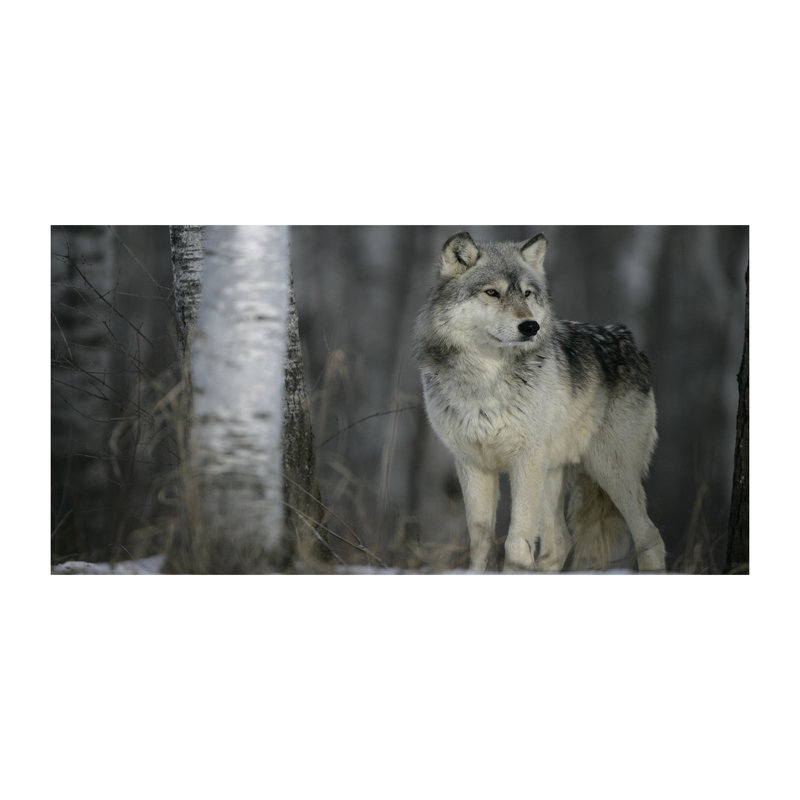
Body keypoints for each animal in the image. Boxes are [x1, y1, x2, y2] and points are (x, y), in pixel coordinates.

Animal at [413, 231, 666, 572]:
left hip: (609, 470)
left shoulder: (525, 459)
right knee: (559, 543)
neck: (486, 378)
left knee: (650, 537)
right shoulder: (472, 463)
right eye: (492, 292)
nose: (530, 326)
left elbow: (516, 541)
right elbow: (480, 542)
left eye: (528, 294)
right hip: (552, 473)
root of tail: (630, 341)